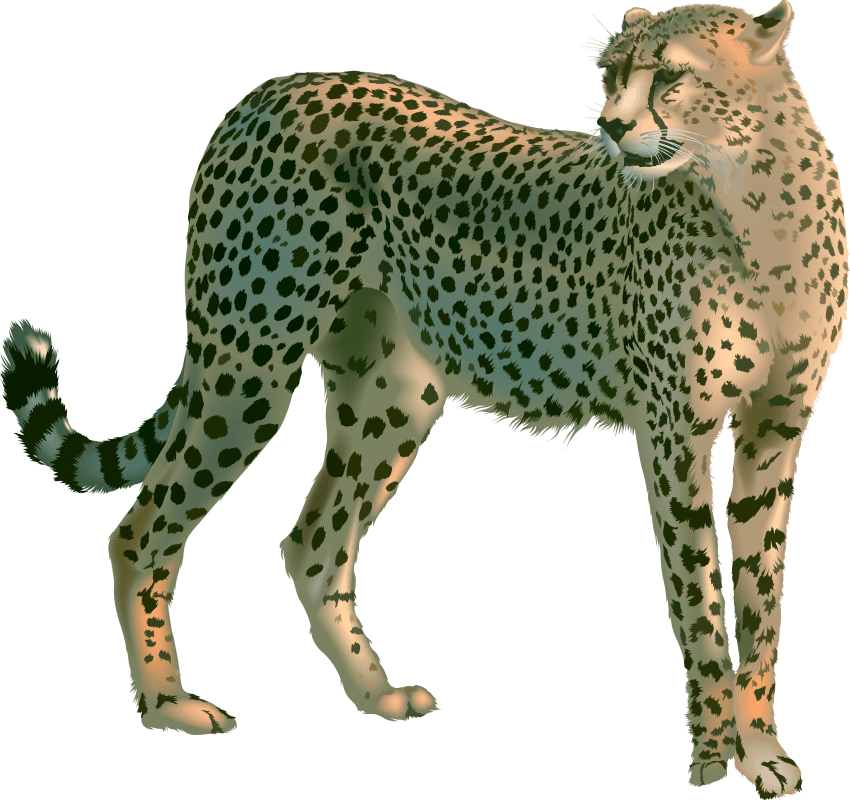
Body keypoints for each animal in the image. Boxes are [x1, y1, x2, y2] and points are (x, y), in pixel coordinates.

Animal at [2, 2, 845, 796]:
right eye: (611, 77)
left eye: (670, 76)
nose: (610, 127)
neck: (756, 205)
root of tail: (274, 87)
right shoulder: (676, 434)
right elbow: (700, 604)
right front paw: (710, 760)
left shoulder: (775, 431)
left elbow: (761, 606)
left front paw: (762, 753)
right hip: (250, 364)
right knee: (142, 528)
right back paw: (166, 702)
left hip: (396, 395)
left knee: (313, 544)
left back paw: (375, 696)